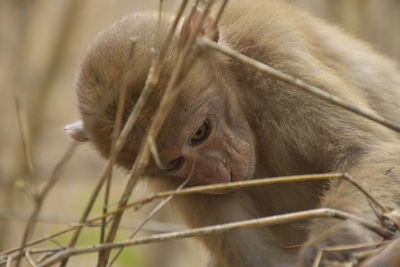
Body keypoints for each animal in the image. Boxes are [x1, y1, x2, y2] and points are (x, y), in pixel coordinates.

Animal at [64, 0, 400, 266]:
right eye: (173, 163)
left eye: (200, 132)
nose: (219, 173)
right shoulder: (181, 184)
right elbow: (259, 260)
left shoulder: (273, 59)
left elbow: (365, 152)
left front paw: (335, 239)